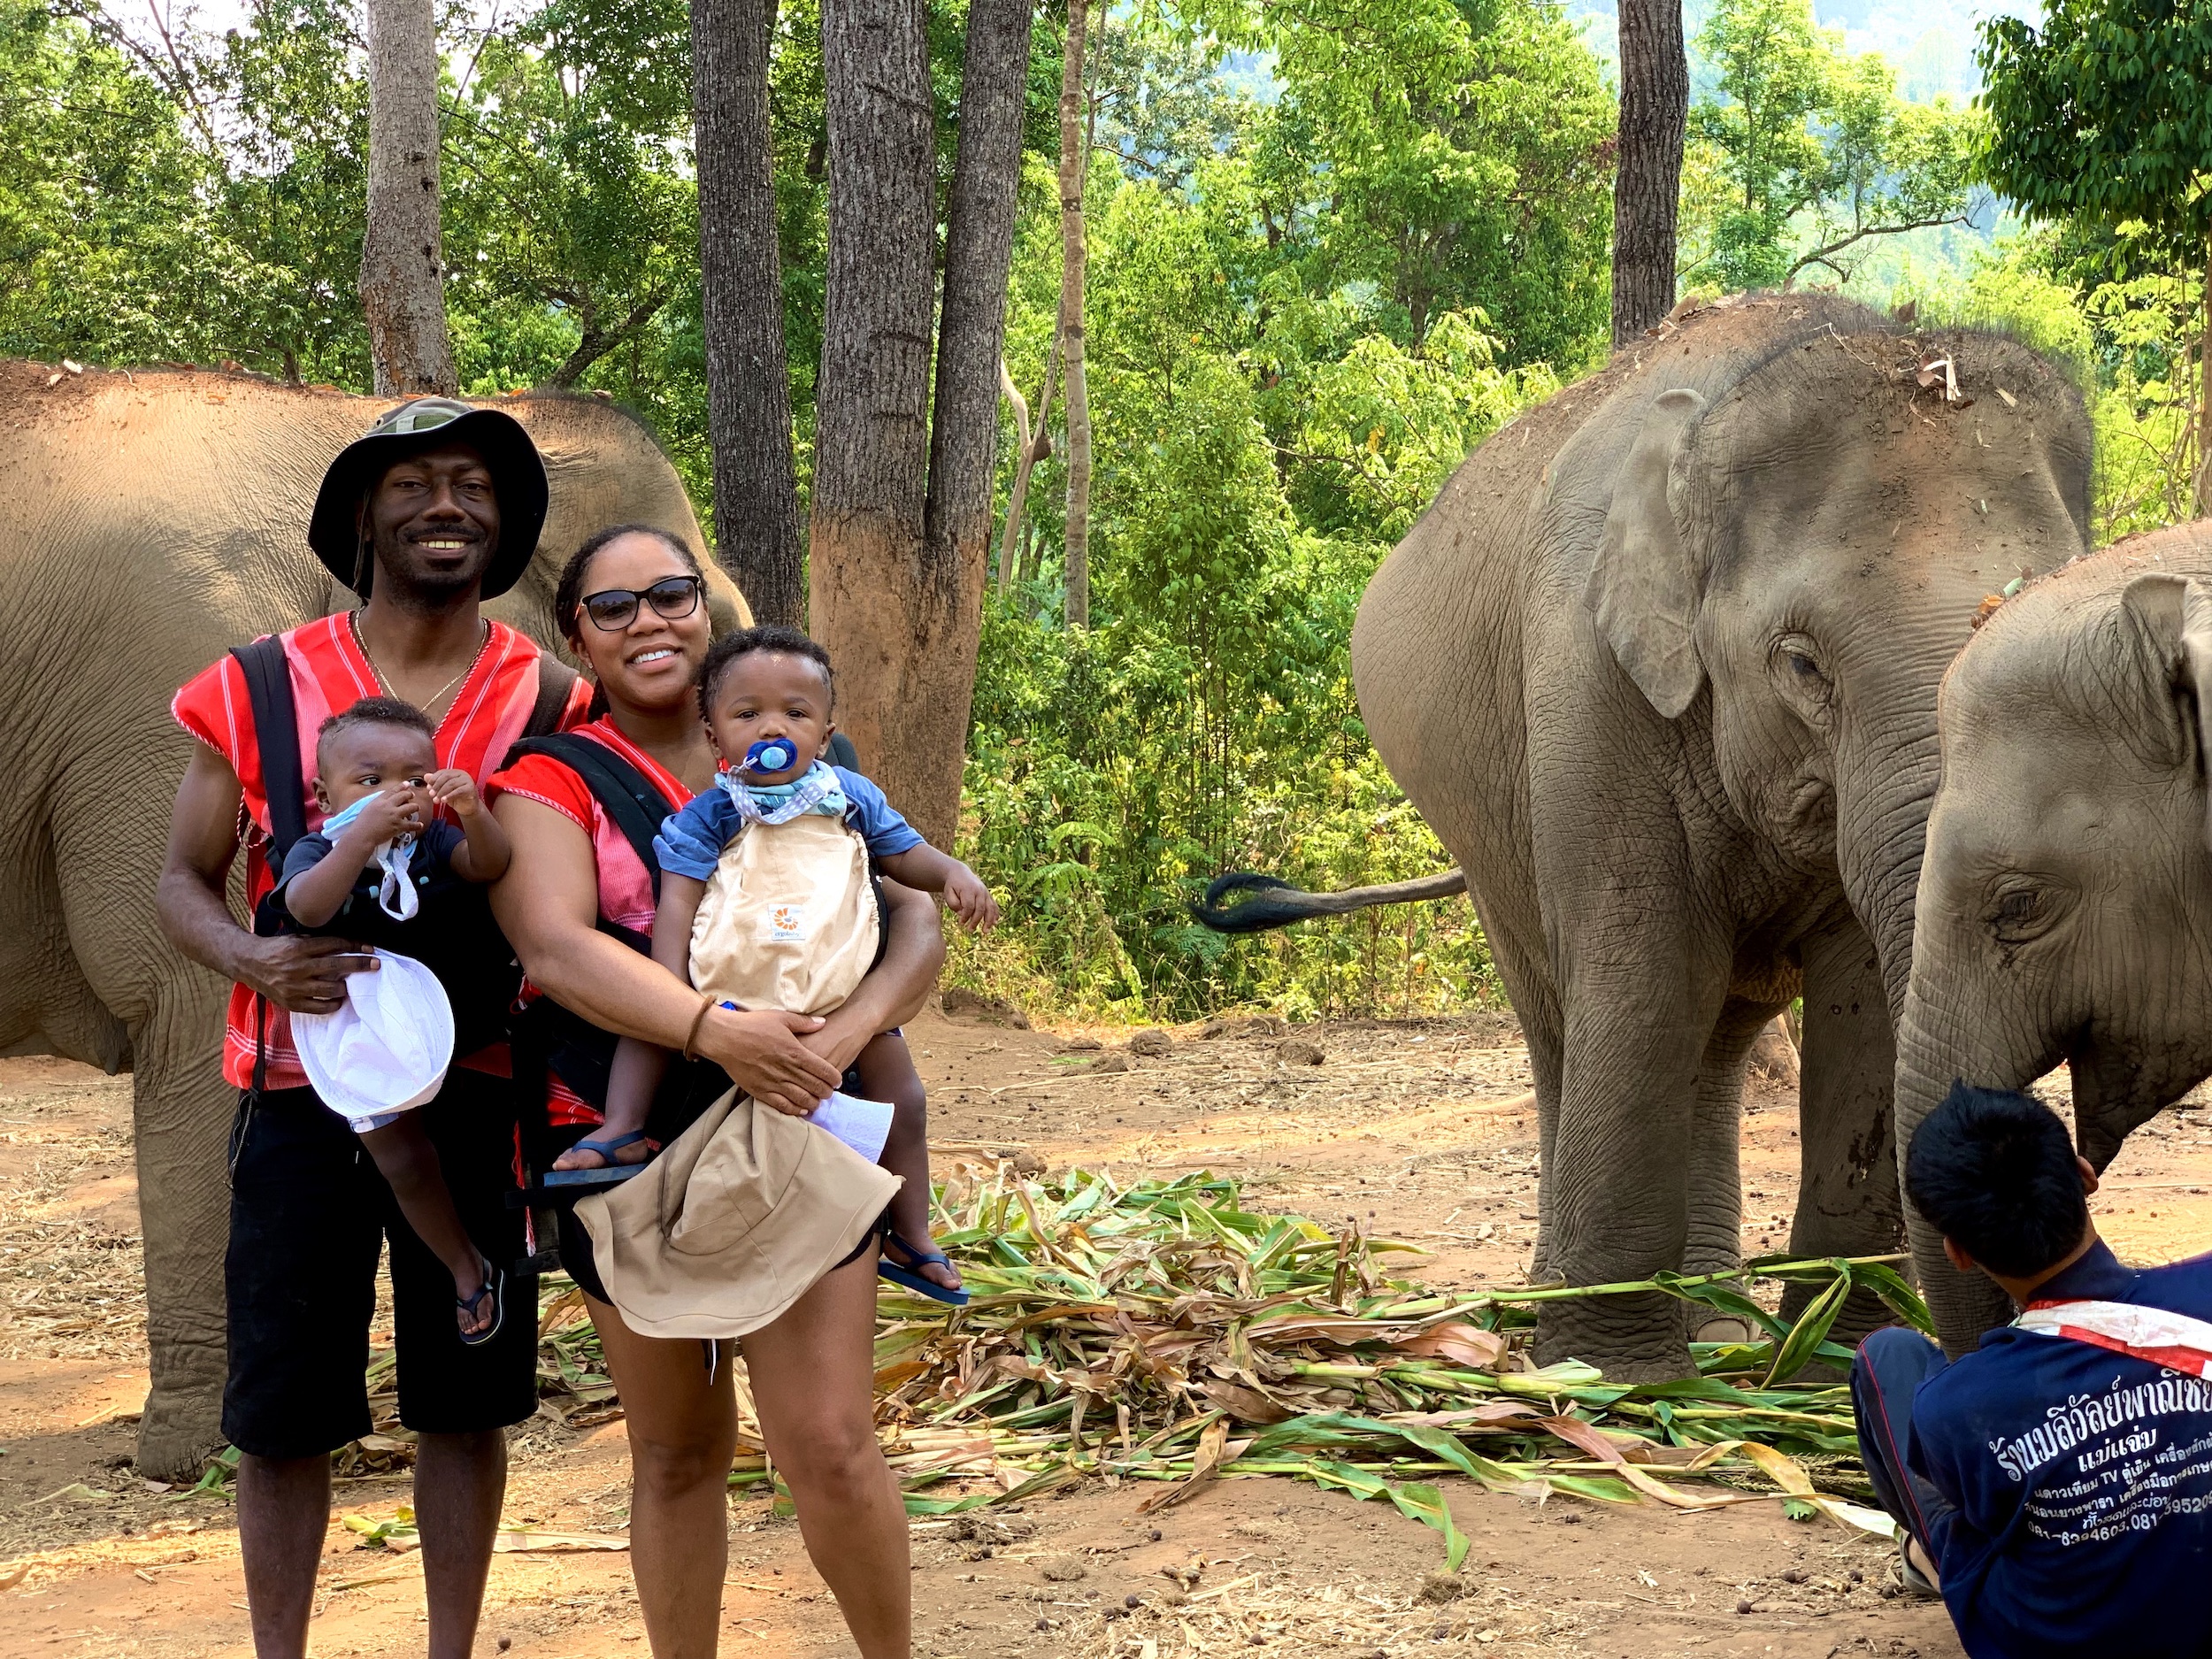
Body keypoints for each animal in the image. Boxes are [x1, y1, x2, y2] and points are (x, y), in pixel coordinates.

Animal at [1201, 294, 2090, 1377]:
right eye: (1800, 663)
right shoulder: (1586, 680)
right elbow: (1644, 971)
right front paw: (1606, 1373)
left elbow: (1863, 1005)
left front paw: (1833, 1362)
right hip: (1483, 833)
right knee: (1564, 1015)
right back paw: (1572, 1302)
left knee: (1716, 1034)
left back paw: (1718, 1320)